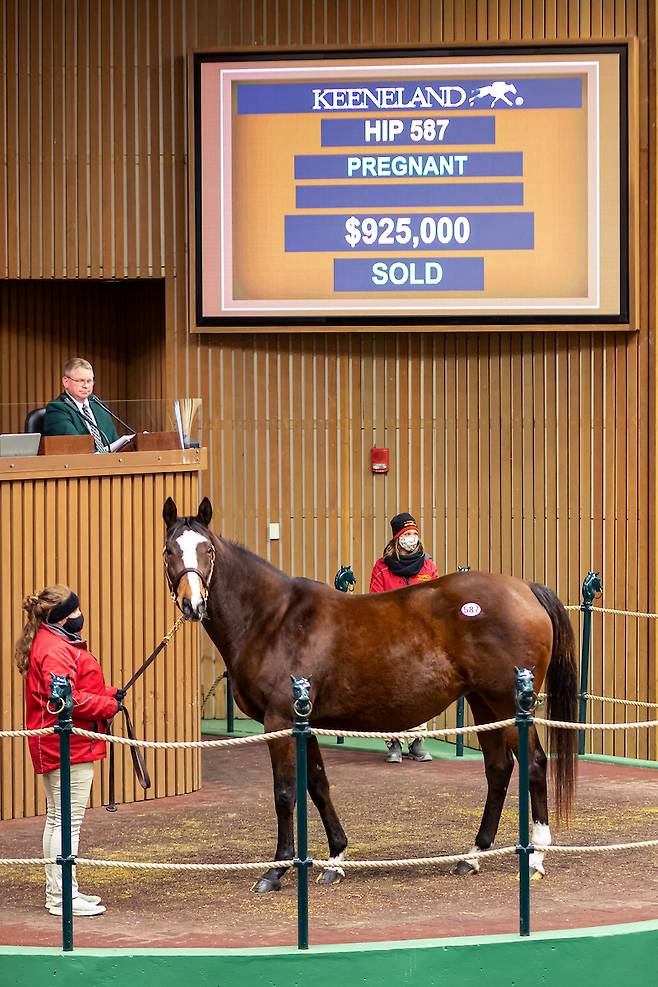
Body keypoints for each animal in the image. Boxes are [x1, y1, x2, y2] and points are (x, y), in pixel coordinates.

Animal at [160, 498, 576, 892]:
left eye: (207, 549)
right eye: (169, 550)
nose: (193, 604)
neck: (273, 619)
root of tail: (525, 590)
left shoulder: (280, 721)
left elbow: (285, 792)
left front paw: (275, 871)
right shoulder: (304, 722)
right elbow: (317, 784)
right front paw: (335, 859)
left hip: (507, 702)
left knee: (534, 763)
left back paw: (536, 855)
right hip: (483, 703)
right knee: (499, 768)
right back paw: (472, 856)